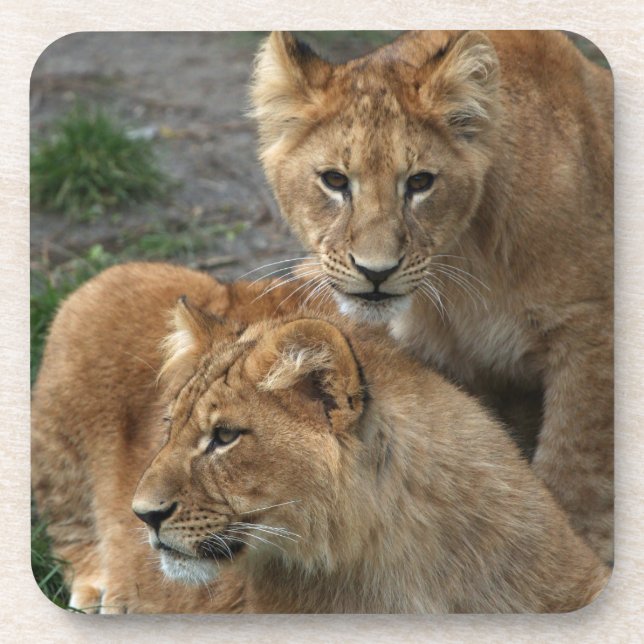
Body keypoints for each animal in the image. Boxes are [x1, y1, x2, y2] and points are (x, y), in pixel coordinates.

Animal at [250, 30, 614, 562]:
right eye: (335, 180)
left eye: (420, 182)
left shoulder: (591, 335)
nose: (375, 272)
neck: (464, 263)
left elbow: (575, 474)